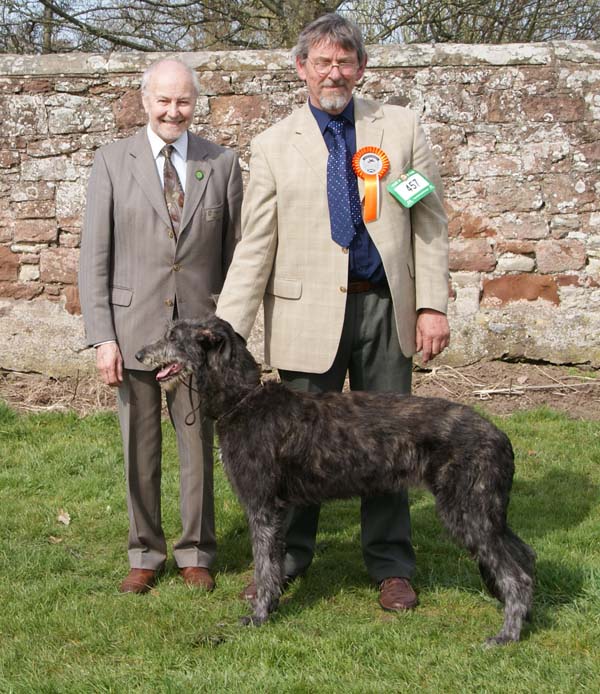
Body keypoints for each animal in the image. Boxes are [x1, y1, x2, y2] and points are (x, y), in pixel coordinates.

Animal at [136, 316, 536, 648]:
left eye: (173, 336)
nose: (139, 353)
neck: (243, 400)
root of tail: (500, 435)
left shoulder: (262, 506)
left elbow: (265, 566)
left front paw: (260, 615)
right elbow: (275, 565)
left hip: (467, 511)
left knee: (516, 575)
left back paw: (507, 635)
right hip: (487, 512)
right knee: (526, 556)